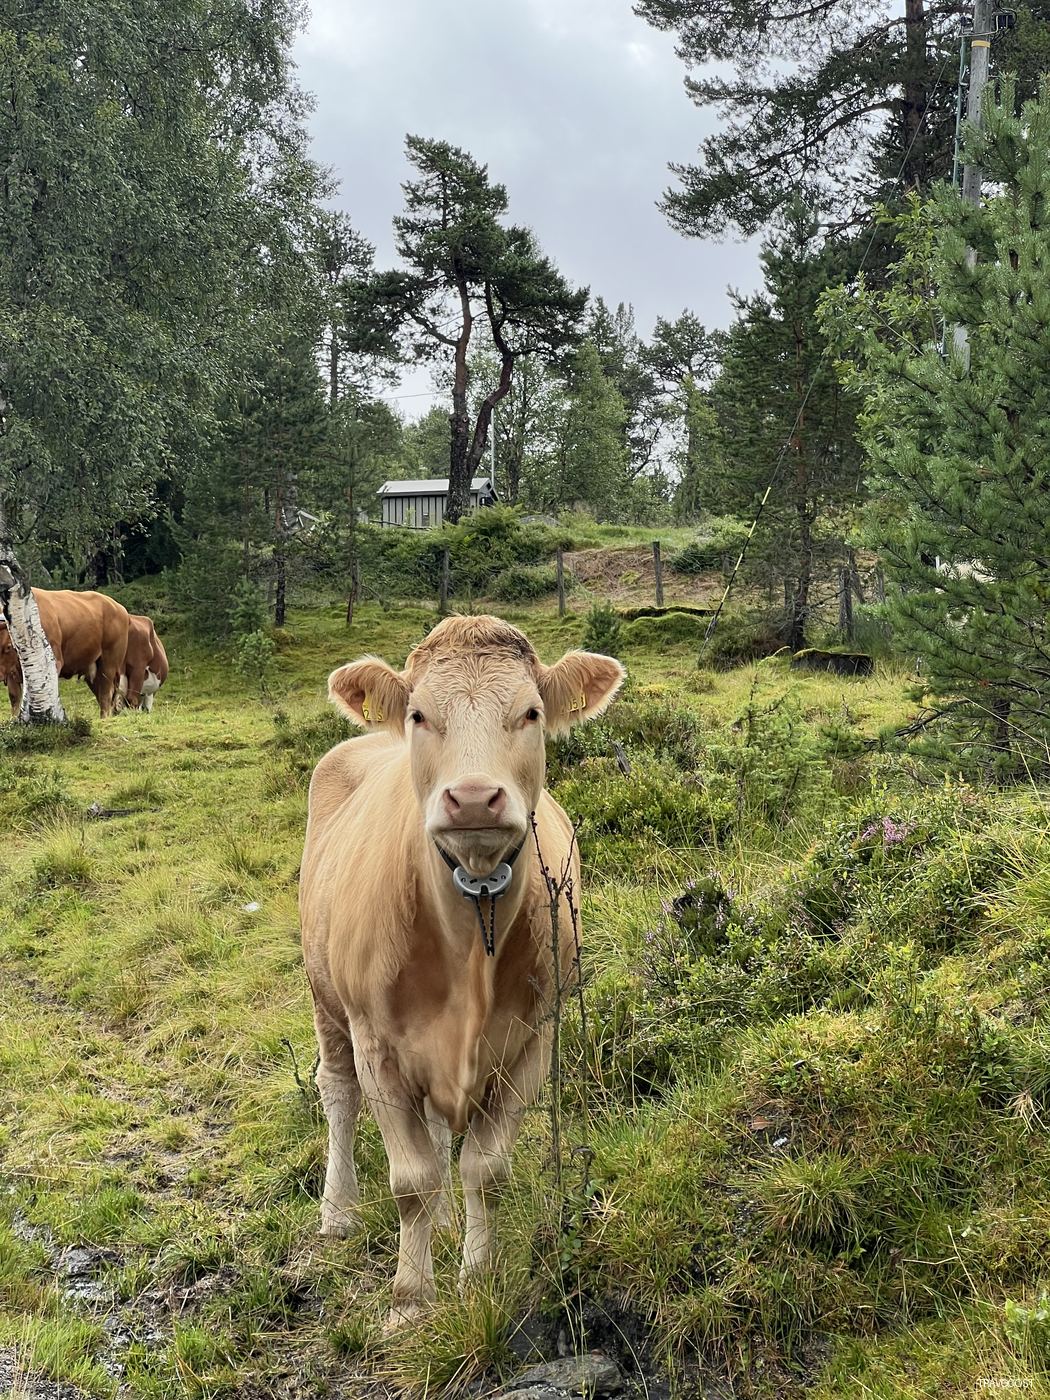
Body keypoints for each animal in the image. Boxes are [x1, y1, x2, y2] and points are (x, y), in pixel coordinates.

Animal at [0, 588, 130, 718]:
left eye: (8, 646)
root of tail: (118, 607)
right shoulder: (11, 673)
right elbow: (15, 698)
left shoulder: (54, 662)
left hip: (109, 664)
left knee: (106, 694)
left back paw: (104, 718)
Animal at [299, 614, 624, 1329]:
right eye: (421, 714)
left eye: (531, 712)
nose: (473, 798)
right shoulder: (377, 1045)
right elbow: (412, 1179)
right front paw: (410, 1298)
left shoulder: (533, 1040)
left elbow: (484, 1169)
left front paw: (476, 1276)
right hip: (326, 998)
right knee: (337, 1092)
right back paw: (338, 1211)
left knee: (439, 1129)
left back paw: (448, 1226)